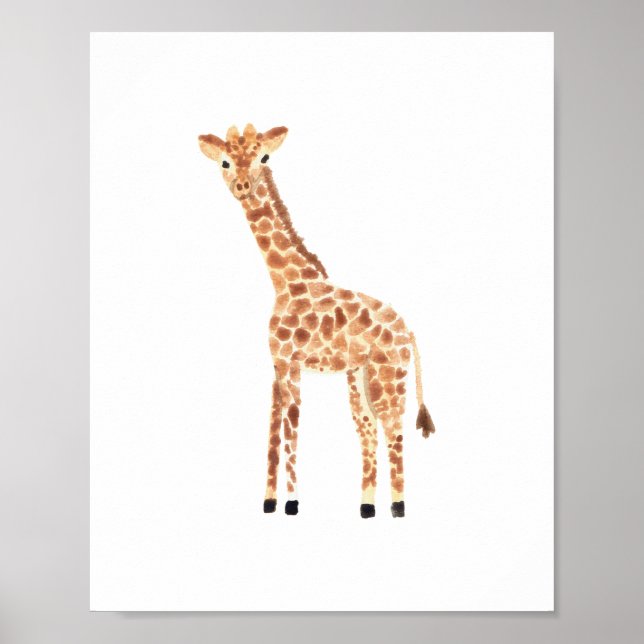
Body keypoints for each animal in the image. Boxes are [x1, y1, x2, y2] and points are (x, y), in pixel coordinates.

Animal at [198, 123, 436, 518]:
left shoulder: (292, 364)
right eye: (225, 161)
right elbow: (273, 430)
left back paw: (398, 507)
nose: (243, 186)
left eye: (264, 157)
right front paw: (268, 502)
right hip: (359, 380)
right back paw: (366, 507)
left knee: (394, 429)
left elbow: (292, 428)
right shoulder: (278, 366)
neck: (287, 282)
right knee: (369, 430)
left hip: (389, 377)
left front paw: (292, 504)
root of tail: (411, 332)